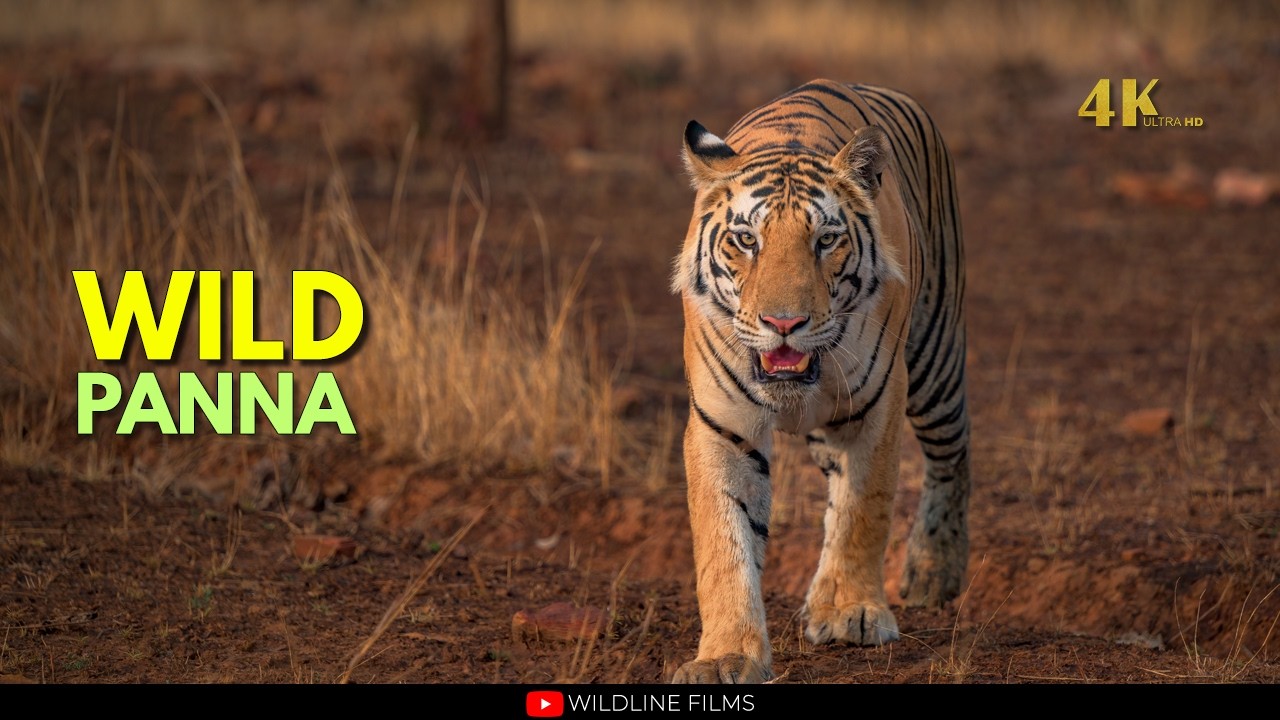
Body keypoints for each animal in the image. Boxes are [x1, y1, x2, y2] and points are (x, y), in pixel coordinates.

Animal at [670, 79, 971, 684]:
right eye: (746, 240)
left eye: (826, 241)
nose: (783, 323)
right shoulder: (721, 425)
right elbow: (724, 540)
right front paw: (725, 656)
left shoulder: (879, 405)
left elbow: (864, 509)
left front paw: (852, 612)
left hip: (936, 359)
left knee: (953, 454)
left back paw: (932, 572)